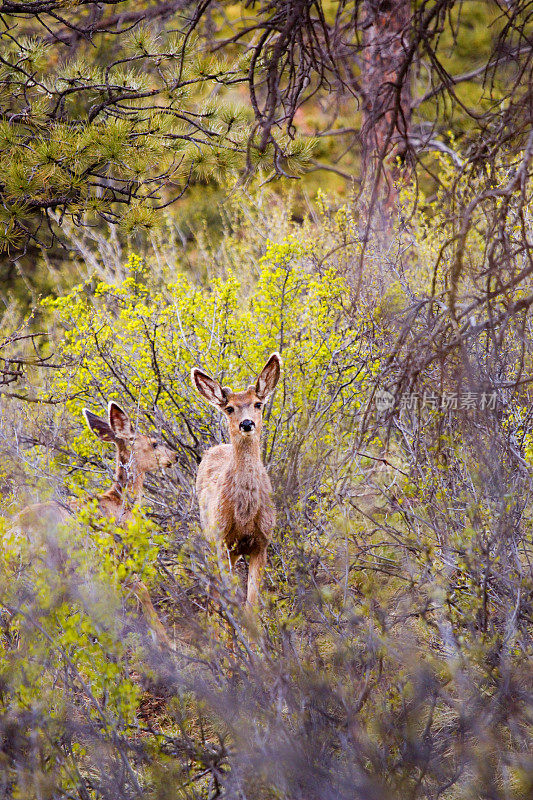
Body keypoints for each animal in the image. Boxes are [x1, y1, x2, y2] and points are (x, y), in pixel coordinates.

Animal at [191, 352, 282, 608]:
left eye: (258, 404)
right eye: (230, 408)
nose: (247, 423)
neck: (245, 516)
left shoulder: (262, 542)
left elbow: (251, 603)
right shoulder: (221, 539)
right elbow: (229, 593)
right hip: (210, 534)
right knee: (213, 589)